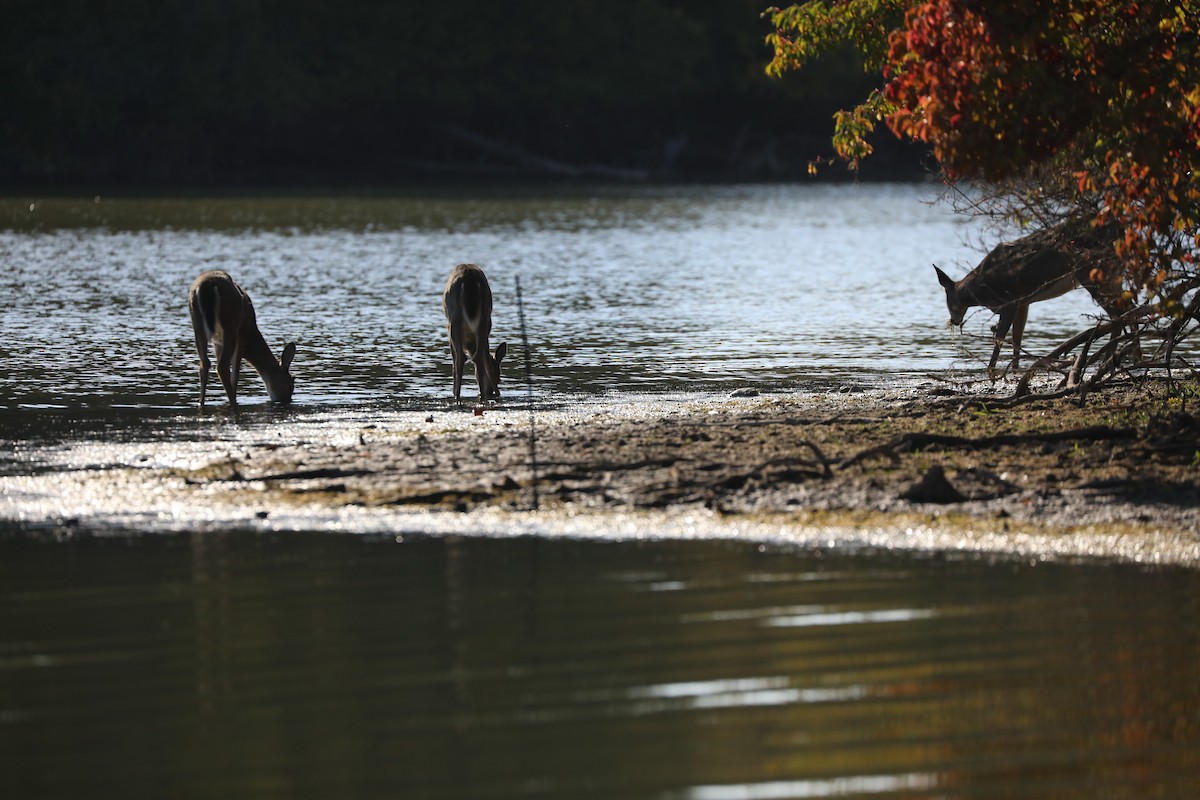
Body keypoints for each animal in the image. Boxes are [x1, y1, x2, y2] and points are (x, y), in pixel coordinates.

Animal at [188, 270, 297, 408]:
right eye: (290, 385)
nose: (286, 401)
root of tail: (207, 286)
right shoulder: (243, 336)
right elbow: (235, 373)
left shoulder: (217, 343)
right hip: (230, 325)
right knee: (222, 367)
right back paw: (233, 402)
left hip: (197, 324)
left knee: (205, 364)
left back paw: (201, 403)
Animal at [442, 263, 507, 403]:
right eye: (498, 378)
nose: (490, 391)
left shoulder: (449, 332)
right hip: (485, 318)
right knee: (479, 357)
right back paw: (484, 396)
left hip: (454, 321)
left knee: (461, 358)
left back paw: (457, 396)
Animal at [934, 220, 1125, 378]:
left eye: (949, 302)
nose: (954, 321)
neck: (981, 289)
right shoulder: (1023, 303)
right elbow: (1017, 338)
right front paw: (1014, 369)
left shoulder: (1010, 300)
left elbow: (1000, 338)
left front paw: (991, 369)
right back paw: (1115, 360)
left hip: (1090, 271)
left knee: (1119, 312)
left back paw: (1109, 361)